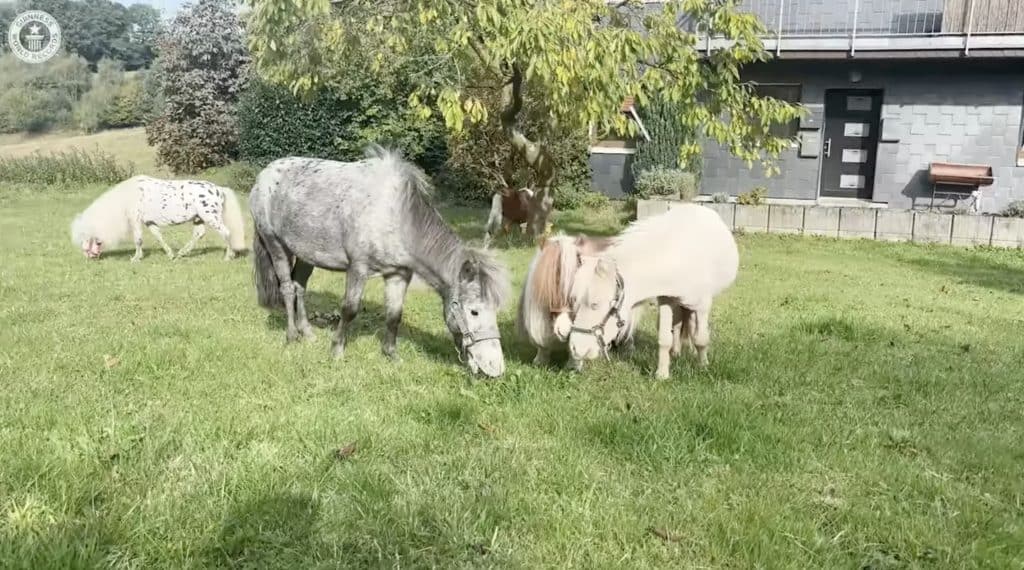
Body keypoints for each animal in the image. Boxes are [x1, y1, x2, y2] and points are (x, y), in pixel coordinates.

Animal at [70, 175, 246, 262]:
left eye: (86, 241)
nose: (89, 258)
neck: (127, 197)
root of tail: (219, 189)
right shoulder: (149, 222)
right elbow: (159, 237)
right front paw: (170, 255)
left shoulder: (136, 220)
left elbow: (138, 240)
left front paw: (136, 258)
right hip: (199, 218)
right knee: (199, 234)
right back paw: (181, 254)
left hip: (210, 217)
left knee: (226, 233)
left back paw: (228, 257)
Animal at [250, 145, 510, 378]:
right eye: (474, 311)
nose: (495, 367)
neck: (395, 214)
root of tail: (263, 177)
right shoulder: (358, 268)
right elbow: (349, 309)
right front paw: (336, 351)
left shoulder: (398, 274)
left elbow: (394, 315)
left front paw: (391, 354)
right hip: (276, 245)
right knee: (286, 288)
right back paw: (292, 336)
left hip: (306, 255)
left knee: (299, 287)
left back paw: (308, 333)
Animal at [566, 204, 738, 379]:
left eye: (595, 304)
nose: (575, 349)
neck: (678, 258)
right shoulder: (667, 299)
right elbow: (664, 338)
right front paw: (662, 374)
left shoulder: (703, 305)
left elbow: (701, 339)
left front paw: (703, 366)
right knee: (679, 325)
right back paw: (676, 352)